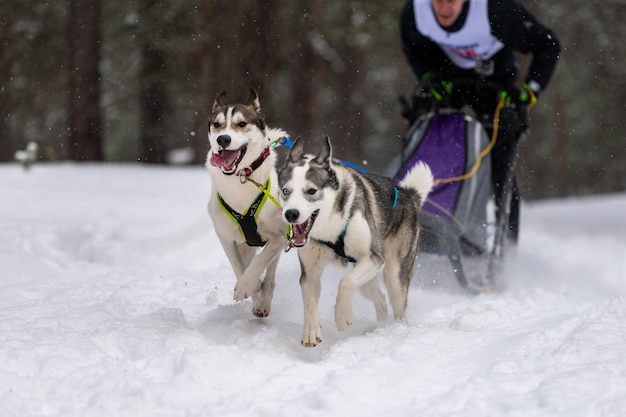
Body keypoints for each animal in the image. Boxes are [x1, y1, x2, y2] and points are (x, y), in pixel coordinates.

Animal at [207, 87, 290, 316]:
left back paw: (263, 302)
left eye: (242, 123)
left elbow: (261, 261)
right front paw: (249, 287)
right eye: (216, 124)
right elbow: (239, 266)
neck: (241, 178)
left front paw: (248, 285)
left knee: (269, 272)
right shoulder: (226, 236)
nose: (223, 139)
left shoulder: (281, 235)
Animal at [276, 136, 432, 344]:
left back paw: (395, 329)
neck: (330, 228)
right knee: (379, 299)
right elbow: (310, 301)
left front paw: (342, 316)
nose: (291, 214)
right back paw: (378, 325)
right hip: (368, 279)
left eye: (311, 191)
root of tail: (407, 194)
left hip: (394, 273)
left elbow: (346, 282)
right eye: (286, 191)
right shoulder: (310, 271)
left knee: (397, 306)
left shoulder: (374, 257)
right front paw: (310, 331)